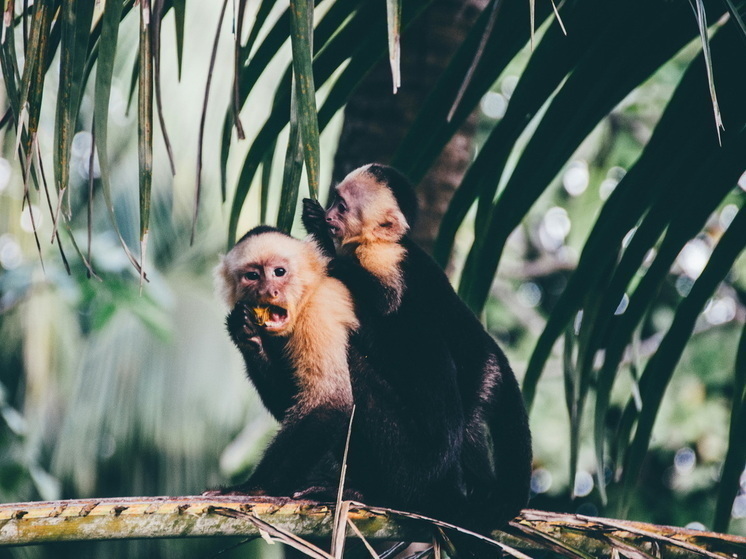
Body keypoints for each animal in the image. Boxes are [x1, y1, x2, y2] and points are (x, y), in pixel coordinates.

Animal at [300, 163, 532, 532]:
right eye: (335, 200)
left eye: (343, 207)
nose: (331, 215)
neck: (377, 240)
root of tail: (494, 352)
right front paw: (317, 222)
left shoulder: (384, 258)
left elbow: (385, 302)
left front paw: (325, 245)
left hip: (480, 373)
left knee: (466, 425)